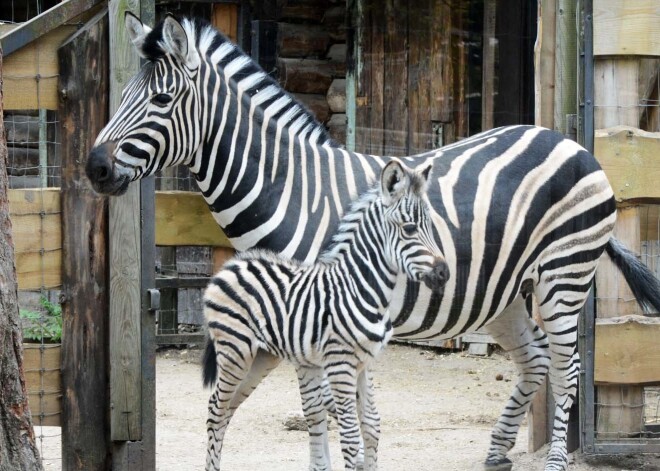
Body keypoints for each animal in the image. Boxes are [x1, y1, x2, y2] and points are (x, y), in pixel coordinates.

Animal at [202, 160, 448, 470]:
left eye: (429, 226)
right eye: (410, 228)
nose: (444, 273)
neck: (360, 287)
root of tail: (231, 265)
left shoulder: (366, 363)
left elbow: (372, 426)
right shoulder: (340, 363)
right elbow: (351, 436)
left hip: (260, 357)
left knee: (227, 409)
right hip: (235, 350)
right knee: (215, 408)